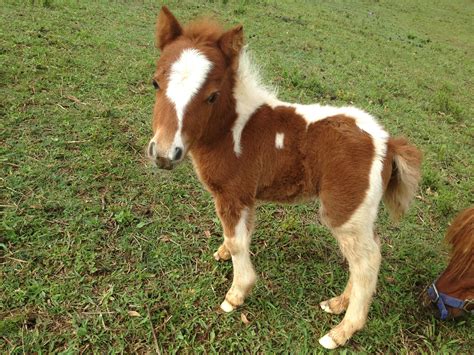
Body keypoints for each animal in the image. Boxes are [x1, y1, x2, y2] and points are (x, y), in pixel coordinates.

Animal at [147, 6, 422, 350]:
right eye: (155, 83)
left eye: (211, 96)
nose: (164, 153)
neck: (233, 129)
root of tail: (387, 142)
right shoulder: (246, 198)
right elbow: (238, 237)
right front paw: (223, 254)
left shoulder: (233, 195)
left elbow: (237, 242)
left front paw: (236, 295)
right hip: (359, 217)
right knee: (366, 256)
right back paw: (337, 304)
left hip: (343, 212)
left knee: (366, 263)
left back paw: (341, 332)